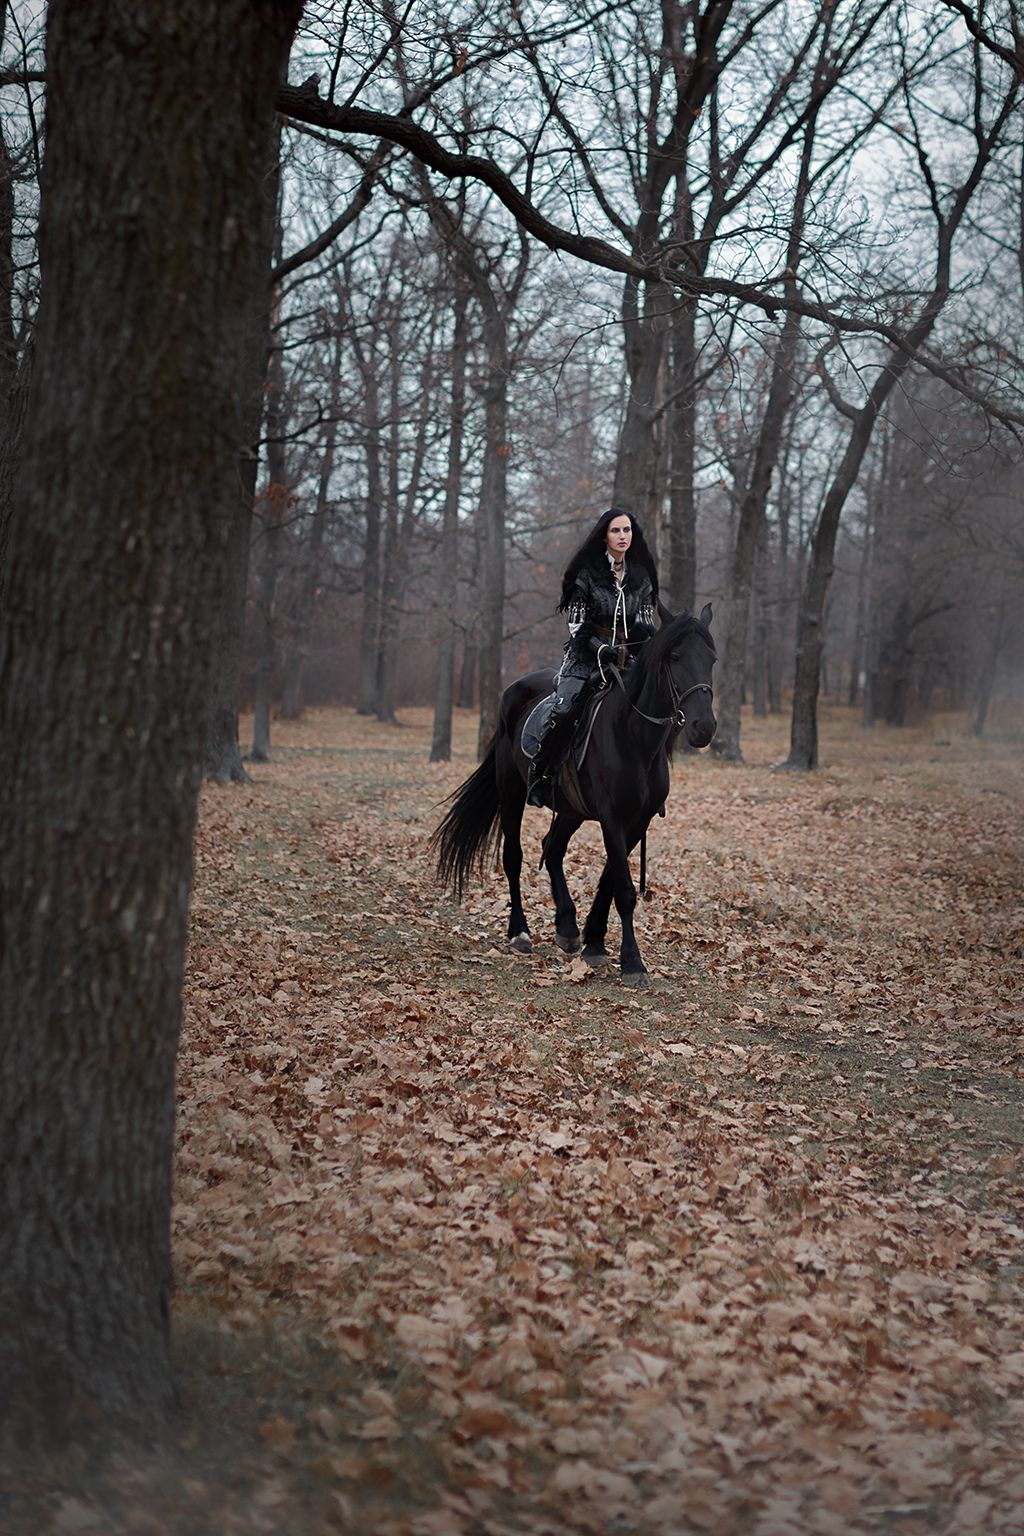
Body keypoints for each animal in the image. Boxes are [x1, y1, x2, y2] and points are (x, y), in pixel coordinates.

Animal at [429, 605, 718, 989]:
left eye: (712, 659)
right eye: (675, 657)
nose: (704, 727)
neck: (634, 739)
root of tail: (512, 691)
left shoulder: (636, 822)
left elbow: (609, 881)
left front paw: (594, 942)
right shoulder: (612, 819)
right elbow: (624, 890)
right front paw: (633, 963)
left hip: (571, 810)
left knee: (552, 848)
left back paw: (566, 927)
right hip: (511, 790)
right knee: (514, 857)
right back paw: (519, 933)